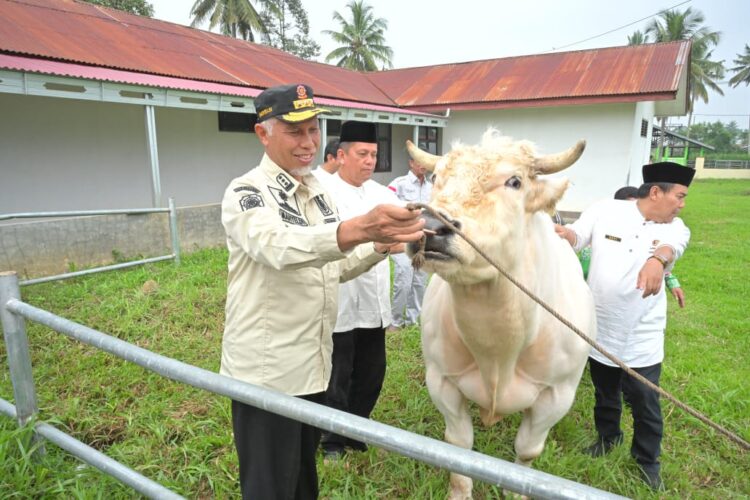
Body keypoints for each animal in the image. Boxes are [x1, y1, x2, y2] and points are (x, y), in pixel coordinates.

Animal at [408, 131, 596, 498]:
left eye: (515, 181)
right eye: (436, 177)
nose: (431, 225)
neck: (498, 348)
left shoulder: (556, 395)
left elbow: (527, 450)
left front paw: (519, 489)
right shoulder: (441, 380)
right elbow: (458, 444)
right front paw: (460, 491)